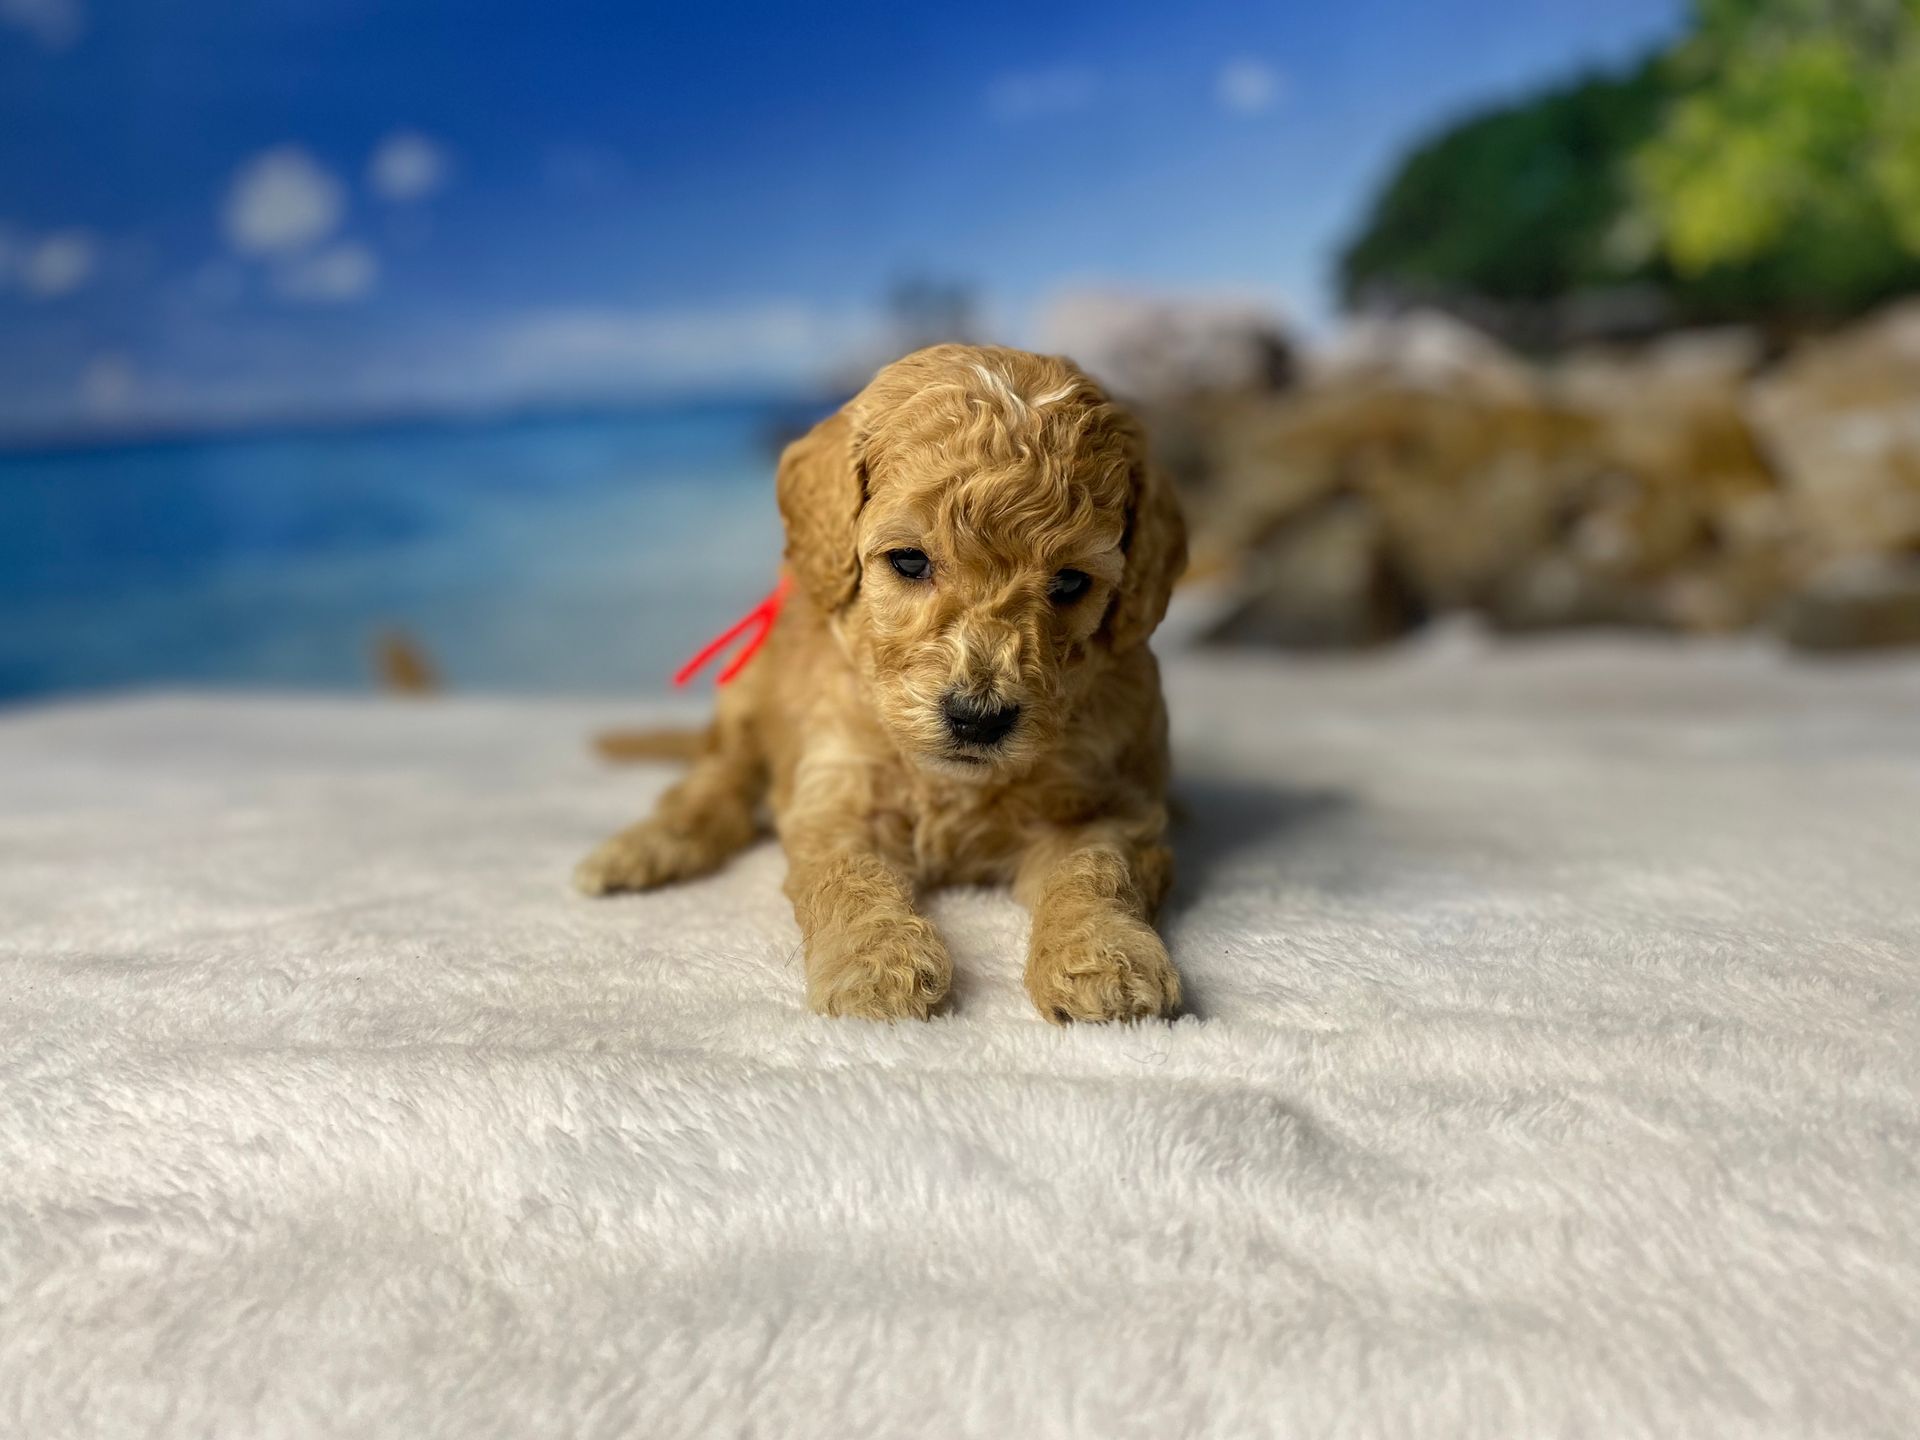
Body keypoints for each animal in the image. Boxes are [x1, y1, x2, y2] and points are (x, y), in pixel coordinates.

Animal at [572, 343, 1182, 1029]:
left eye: (1072, 582)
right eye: (909, 560)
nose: (978, 718)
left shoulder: (1108, 800)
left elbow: (1097, 869)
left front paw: (1105, 959)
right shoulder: (837, 792)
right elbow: (850, 874)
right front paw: (878, 964)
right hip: (747, 694)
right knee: (715, 785)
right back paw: (639, 850)